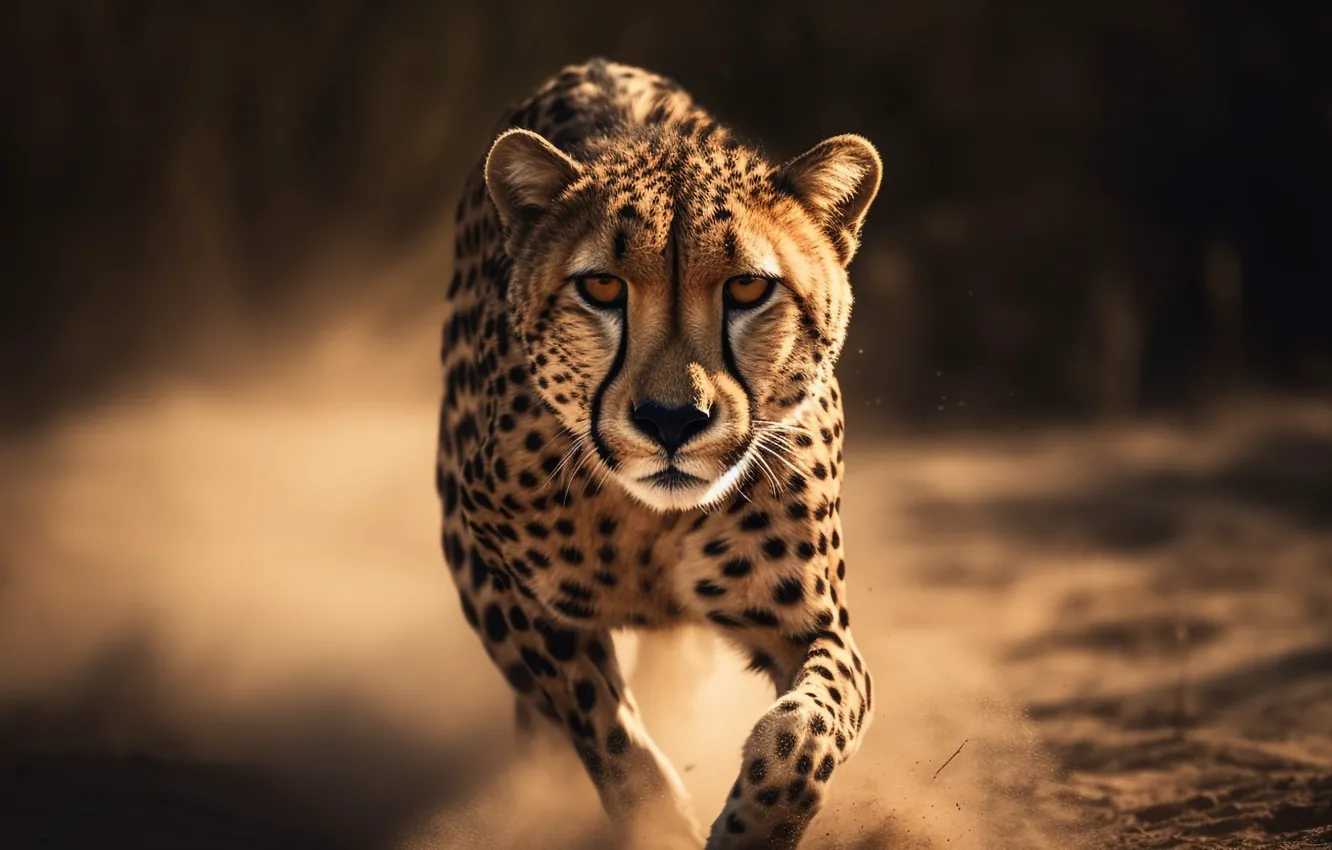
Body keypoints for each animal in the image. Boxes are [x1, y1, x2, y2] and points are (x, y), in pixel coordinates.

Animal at [436, 57, 881, 850]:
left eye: (748, 288)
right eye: (601, 286)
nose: (672, 420)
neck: (650, 519)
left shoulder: (816, 626)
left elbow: (804, 735)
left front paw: (751, 826)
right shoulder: (499, 582)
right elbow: (601, 725)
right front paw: (656, 823)